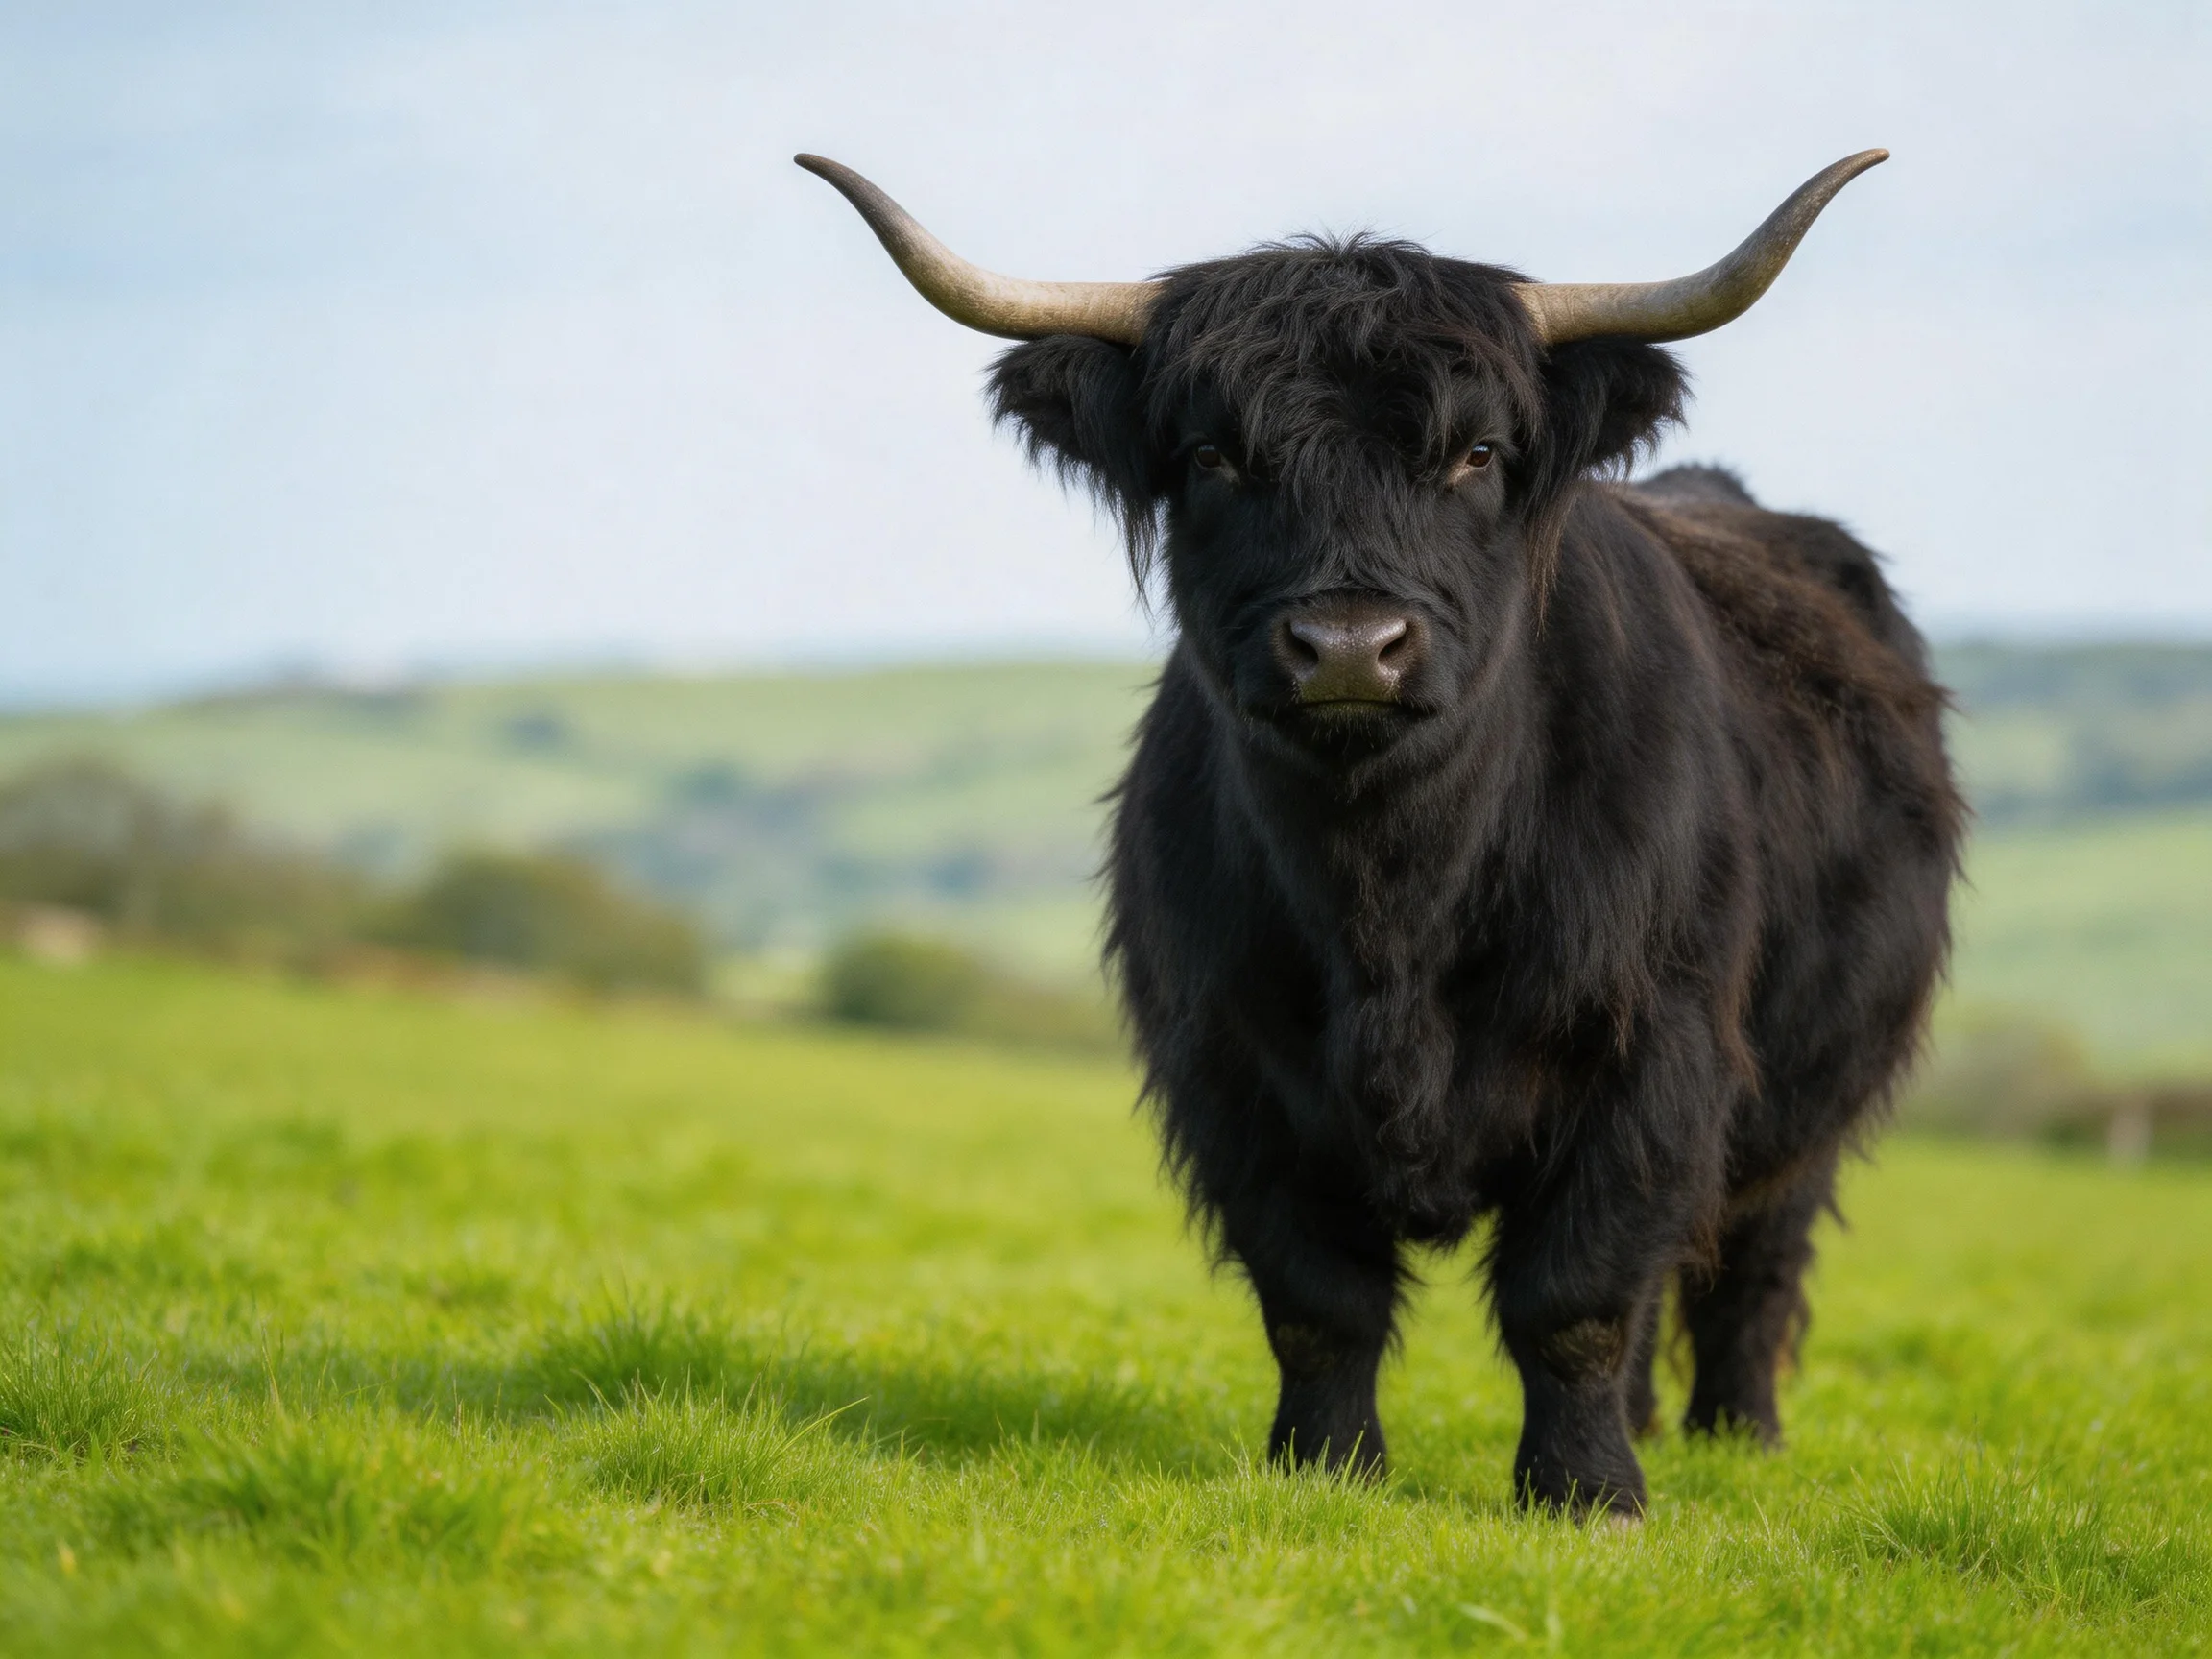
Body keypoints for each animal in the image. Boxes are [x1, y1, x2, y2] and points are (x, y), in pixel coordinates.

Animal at [799, 150, 1963, 1519]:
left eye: (1476, 452)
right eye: (1212, 454)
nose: (1350, 646)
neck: (1390, 899)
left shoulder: (1655, 1049)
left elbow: (1577, 1294)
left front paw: (1587, 1497)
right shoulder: (1234, 1069)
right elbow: (1320, 1301)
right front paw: (1326, 1469)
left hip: (1814, 1094)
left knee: (1751, 1262)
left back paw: (1739, 1441)